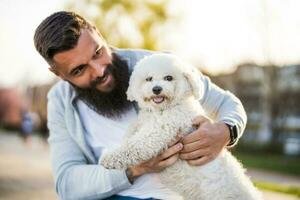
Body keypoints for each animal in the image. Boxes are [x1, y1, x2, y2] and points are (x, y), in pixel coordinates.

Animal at [100, 54, 262, 199]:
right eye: (149, 79)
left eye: (168, 78)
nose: (156, 89)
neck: (163, 110)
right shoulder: (143, 122)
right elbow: (132, 132)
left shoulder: (160, 131)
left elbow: (136, 145)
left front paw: (109, 158)